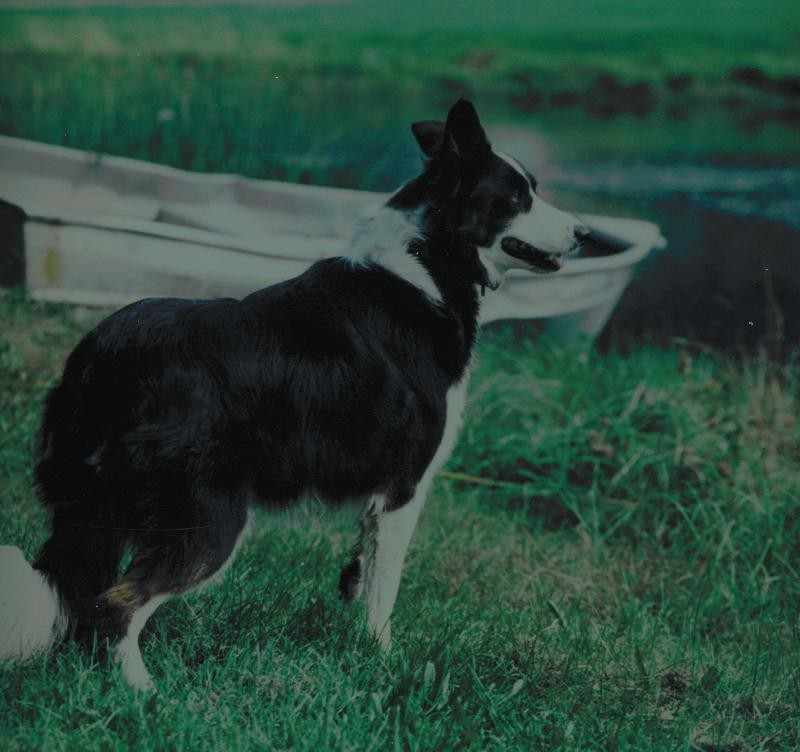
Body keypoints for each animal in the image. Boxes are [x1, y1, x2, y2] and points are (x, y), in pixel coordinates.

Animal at [0, 101, 588, 692]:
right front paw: (383, 661)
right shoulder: (404, 488)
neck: (429, 256)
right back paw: (146, 692)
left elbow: (362, 571)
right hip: (208, 520)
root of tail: (102, 358)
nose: (585, 231)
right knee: (117, 602)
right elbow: (384, 592)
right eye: (516, 197)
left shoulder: (378, 502)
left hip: (96, 508)